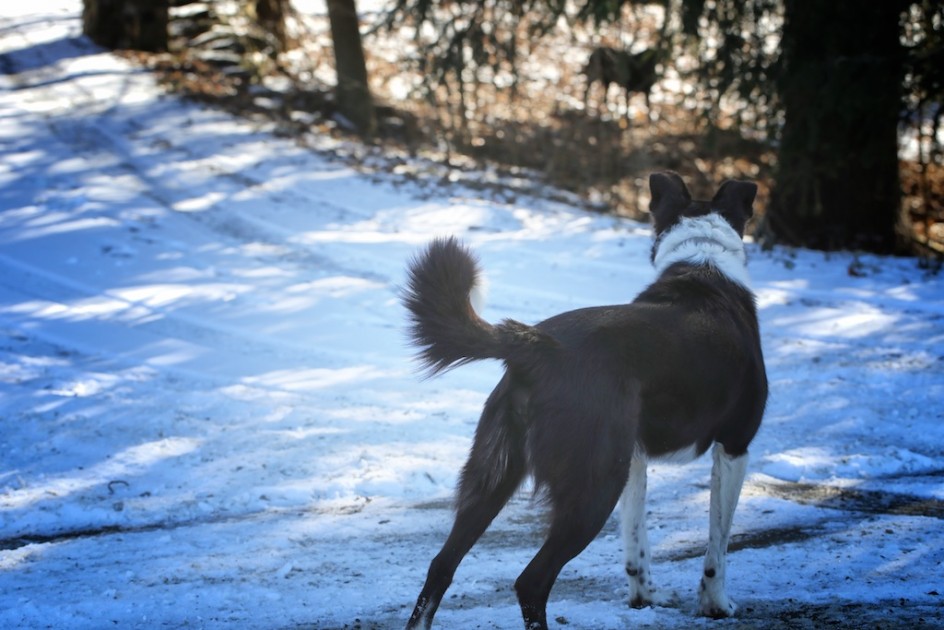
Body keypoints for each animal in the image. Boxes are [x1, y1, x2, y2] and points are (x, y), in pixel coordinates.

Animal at [404, 173, 768, 630]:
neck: (704, 264)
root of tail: (539, 345)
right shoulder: (735, 447)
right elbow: (717, 547)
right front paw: (716, 604)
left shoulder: (635, 459)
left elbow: (636, 543)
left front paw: (644, 597)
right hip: (594, 487)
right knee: (531, 582)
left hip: (494, 479)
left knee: (441, 566)